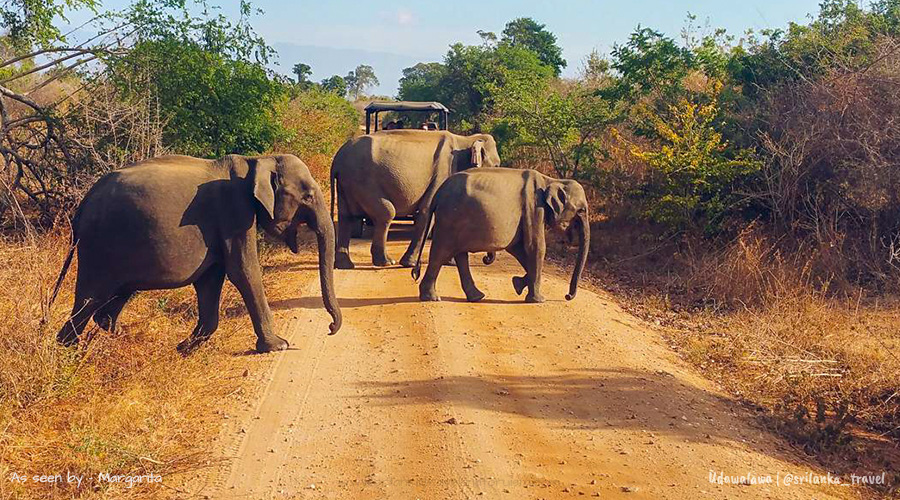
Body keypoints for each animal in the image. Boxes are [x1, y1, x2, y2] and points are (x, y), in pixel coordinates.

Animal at [51, 154, 342, 354]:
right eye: (307, 196)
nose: (329, 329)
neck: (257, 161)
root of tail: (83, 204)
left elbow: (210, 278)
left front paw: (183, 348)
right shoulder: (234, 212)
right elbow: (243, 271)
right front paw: (278, 346)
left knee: (114, 298)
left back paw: (120, 336)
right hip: (99, 246)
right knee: (90, 299)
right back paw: (68, 351)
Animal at [328, 130, 500, 270]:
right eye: (497, 165)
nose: (486, 259)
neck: (466, 139)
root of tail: (337, 160)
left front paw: (449, 262)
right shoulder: (442, 172)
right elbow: (427, 212)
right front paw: (409, 263)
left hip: (347, 183)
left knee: (346, 217)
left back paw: (345, 265)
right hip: (362, 181)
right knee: (386, 213)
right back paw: (386, 262)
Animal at [410, 168, 592, 302]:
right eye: (582, 210)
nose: (567, 296)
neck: (551, 180)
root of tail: (439, 192)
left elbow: (518, 248)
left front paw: (517, 284)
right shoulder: (534, 207)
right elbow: (536, 247)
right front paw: (538, 300)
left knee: (459, 255)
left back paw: (476, 297)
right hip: (450, 218)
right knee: (441, 252)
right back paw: (432, 298)